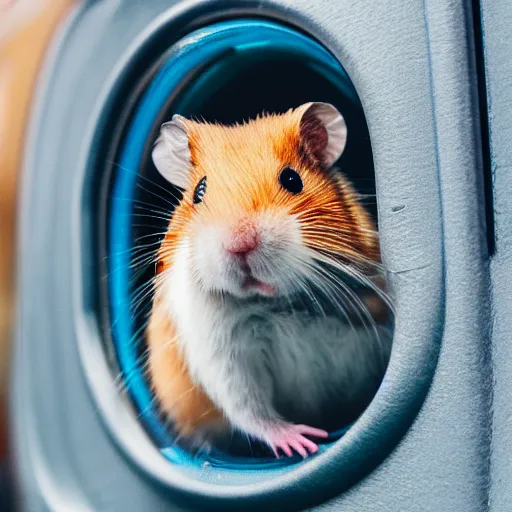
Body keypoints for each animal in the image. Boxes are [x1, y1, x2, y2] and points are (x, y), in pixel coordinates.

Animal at [146, 102, 394, 458]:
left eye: (292, 179)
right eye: (199, 191)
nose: (239, 243)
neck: (275, 303)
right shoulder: (220, 348)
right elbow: (248, 406)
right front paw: (302, 441)